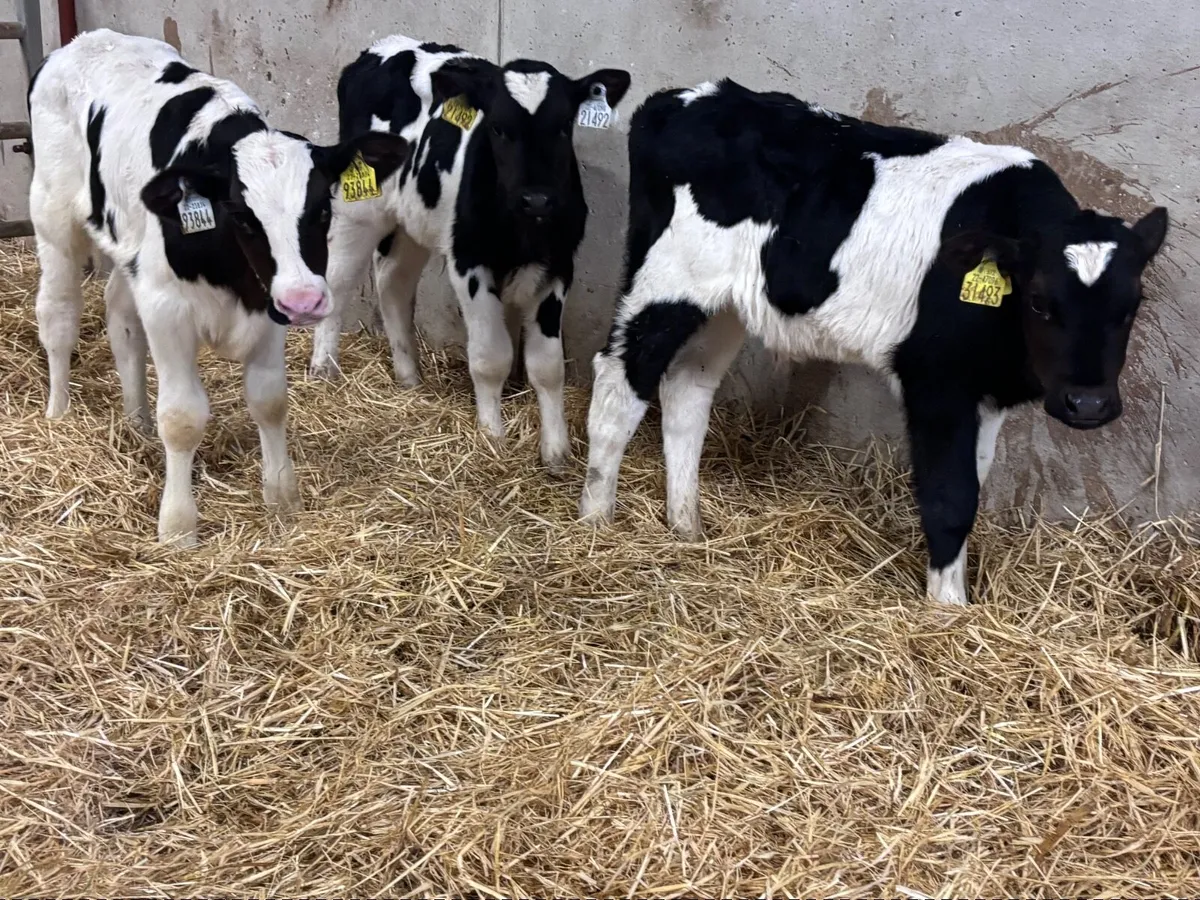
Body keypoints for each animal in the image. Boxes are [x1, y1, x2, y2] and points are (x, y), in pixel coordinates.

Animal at [28, 29, 411, 545]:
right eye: (243, 216)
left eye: (322, 210)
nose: (306, 300)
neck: (231, 275)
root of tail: (82, 41)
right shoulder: (167, 307)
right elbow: (183, 418)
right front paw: (177, 527)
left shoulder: (267, 305)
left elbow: (270, 400)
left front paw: (281, 498)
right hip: (52, 218)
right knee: (58, 316)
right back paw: (59, 412)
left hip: (131, 251)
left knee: (120, 318)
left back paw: (136, 423)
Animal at [306, 36, 631, 472]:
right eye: (497, 127)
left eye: (564, 126)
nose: (537, 199)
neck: (521, 230)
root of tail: (387, 46)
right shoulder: (469, 262)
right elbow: (491, 357)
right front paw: (493, 436)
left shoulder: (559, 267)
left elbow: (547, 366)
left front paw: (556, 451)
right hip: (359, 207)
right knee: (338, 282)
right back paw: (323, 369)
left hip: (413, 217)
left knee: (393, 281)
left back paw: (408, 376)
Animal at [578, 79, 1170, 605]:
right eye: (1041, 302)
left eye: (1131, 305)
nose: (1087, 403)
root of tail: (681, 97)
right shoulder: (934, 377)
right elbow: (949, 496)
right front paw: (947, 612)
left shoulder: (984, 389)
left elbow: (973, 482)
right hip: (667, 279)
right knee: (620, 380)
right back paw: (596, 522)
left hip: (723, 304)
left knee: (687, 388)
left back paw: (687, 529)